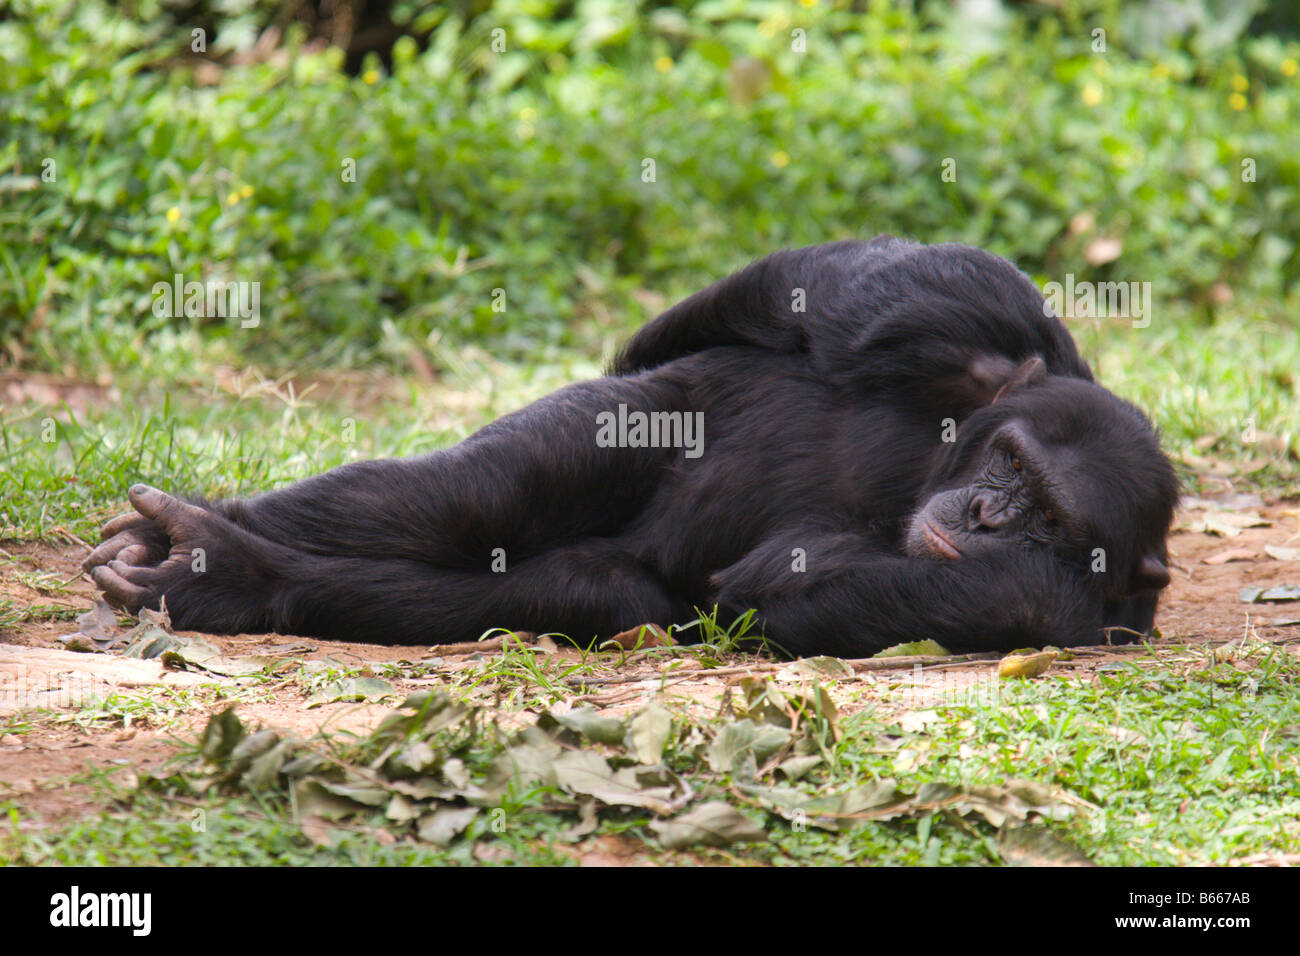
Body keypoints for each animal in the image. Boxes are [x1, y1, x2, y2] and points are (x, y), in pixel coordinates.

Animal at [81, 238, 1180, 658]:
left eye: (1047, 517)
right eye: (1010, 468)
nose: (991, 513)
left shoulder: (1038, 606)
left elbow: (785, 593)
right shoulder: (982, 306)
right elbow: (819, 294)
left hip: (616, 585)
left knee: (552, 585)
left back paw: (224, 573)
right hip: (641, 424)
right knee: (476, 492)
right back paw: (190, 541)